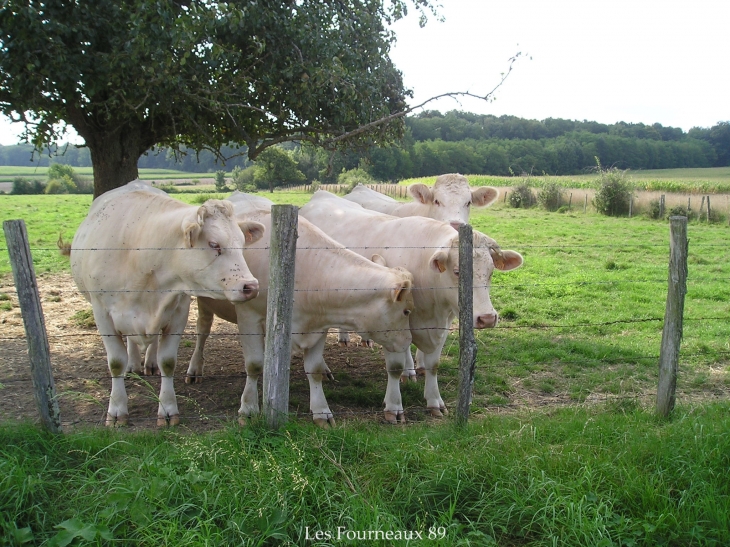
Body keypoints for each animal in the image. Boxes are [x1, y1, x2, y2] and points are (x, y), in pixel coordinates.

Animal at [302, 191, 524, 422]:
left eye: (491, 272)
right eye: (457, 271)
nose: (487, 318)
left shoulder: (441, 325)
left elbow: (433, 365)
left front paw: (434, 401)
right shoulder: (391, 323)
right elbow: (395, 368)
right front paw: (394, 406)